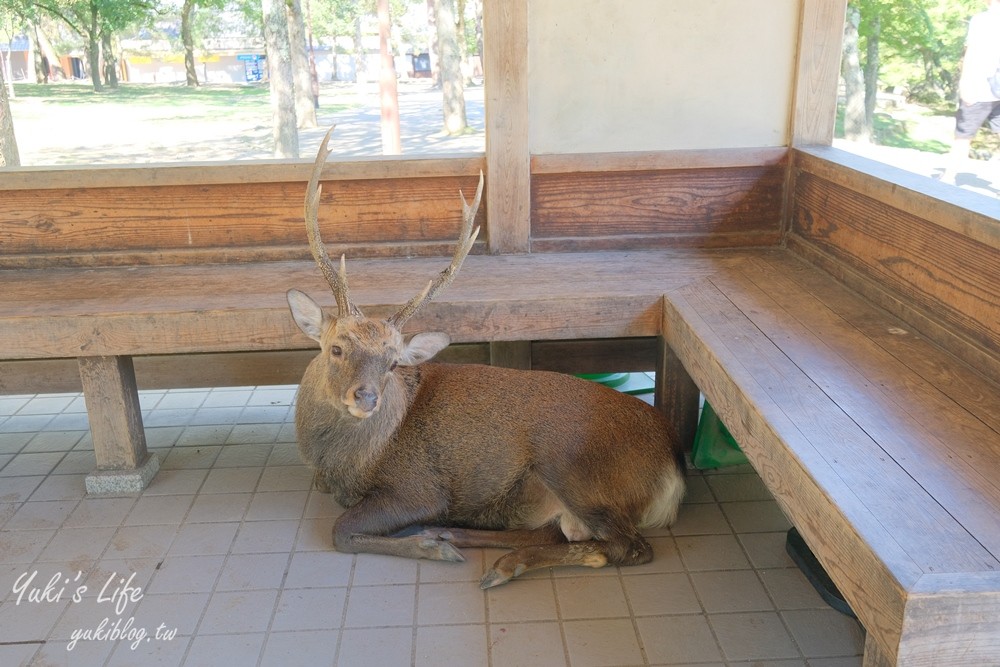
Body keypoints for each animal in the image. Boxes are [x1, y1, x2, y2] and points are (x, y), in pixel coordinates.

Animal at [286, 128, 684, 588]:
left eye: (393, 364)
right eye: (336, 347)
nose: (366, 398)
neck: (340, 465)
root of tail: (675, 466)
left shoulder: (417, 487)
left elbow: (342, 532)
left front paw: (427, 547)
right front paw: (434, 541)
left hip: (574, 467)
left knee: (622, 547)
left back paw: (492, 560)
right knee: (553, 532)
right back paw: (461, 538)